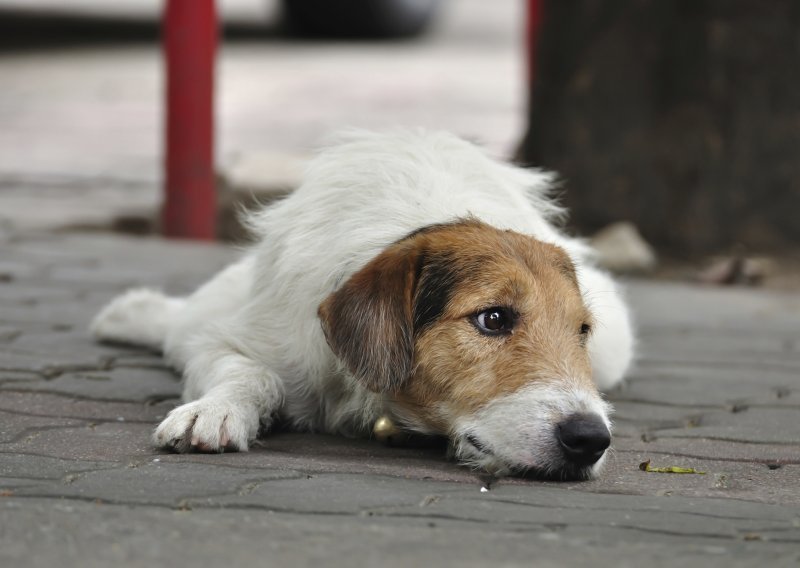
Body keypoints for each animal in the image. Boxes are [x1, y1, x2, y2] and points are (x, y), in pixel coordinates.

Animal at [92, 129, 632, 480]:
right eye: (493, 318)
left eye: (581, 331)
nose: (590, 439)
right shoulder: (245, 339)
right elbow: (248, 371)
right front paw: (216, 410)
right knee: (183, 321)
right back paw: (126, 314)